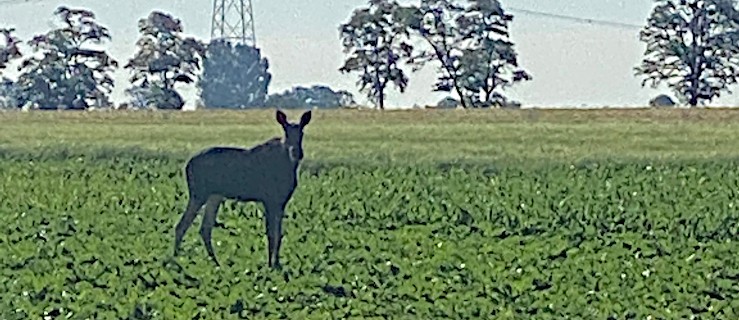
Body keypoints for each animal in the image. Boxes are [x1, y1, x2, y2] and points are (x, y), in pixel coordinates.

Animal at [175, 109, 314, 268]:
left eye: (302, 132)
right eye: (286, 132)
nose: (297, 152)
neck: (289, 167)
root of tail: (187, 165)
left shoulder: (280, 202)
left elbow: (279, 234)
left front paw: (277, 264)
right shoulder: (268, 200)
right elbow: (270, 233)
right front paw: (270, 265)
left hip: (214, 196)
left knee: (204, 228)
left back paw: (215, 262)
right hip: (199, 193)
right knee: (182, 225)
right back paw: (176, 261)